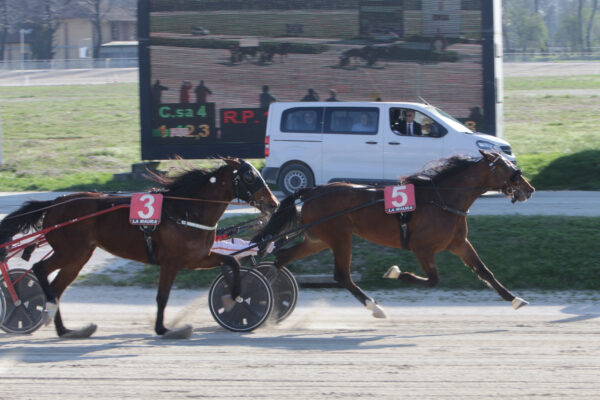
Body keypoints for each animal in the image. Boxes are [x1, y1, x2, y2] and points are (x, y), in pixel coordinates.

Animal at [0, 158, 278, 340]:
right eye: (249, 176)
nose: (274, 203)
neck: (185, 210)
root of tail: (55, 203)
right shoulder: (171, 262)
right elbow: (162, 296)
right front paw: (164, 329)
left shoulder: (197, 258)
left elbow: (233, 262)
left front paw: (235, 297)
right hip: (70, 251)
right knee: (39, 268)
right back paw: (42, 308)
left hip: (78, 256)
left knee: (57, 287)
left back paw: (66, 330)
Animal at [253, 150, 536, 318]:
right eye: (509, 168)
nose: (529, 189)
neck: (442, 199)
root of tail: (312, 190)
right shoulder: (422, 248)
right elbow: (432, 280)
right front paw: (396, 273)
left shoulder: (459, 243)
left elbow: (484, 271)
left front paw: (515, 299)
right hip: (340, 237)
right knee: (342, 276)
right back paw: (374, 307)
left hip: (318, 239)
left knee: (282, 258)